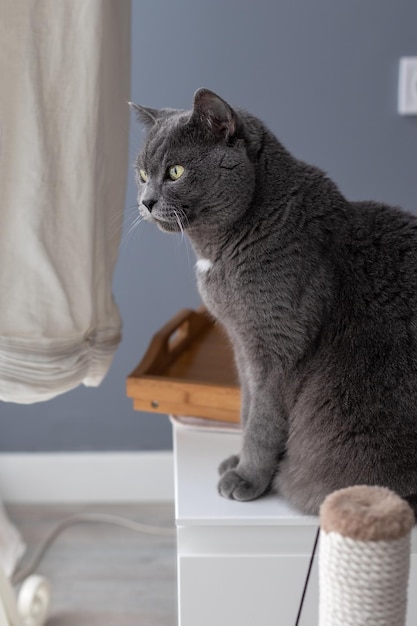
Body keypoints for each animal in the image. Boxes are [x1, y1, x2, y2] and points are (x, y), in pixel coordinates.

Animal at [132, 89, 416, 516]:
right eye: (142, 174)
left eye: (176, 172)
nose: (146, 201)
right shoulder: (242, 344)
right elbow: (246, 407)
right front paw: (238, 462)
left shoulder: (279, 349)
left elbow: (263, 422)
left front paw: (248, 478)